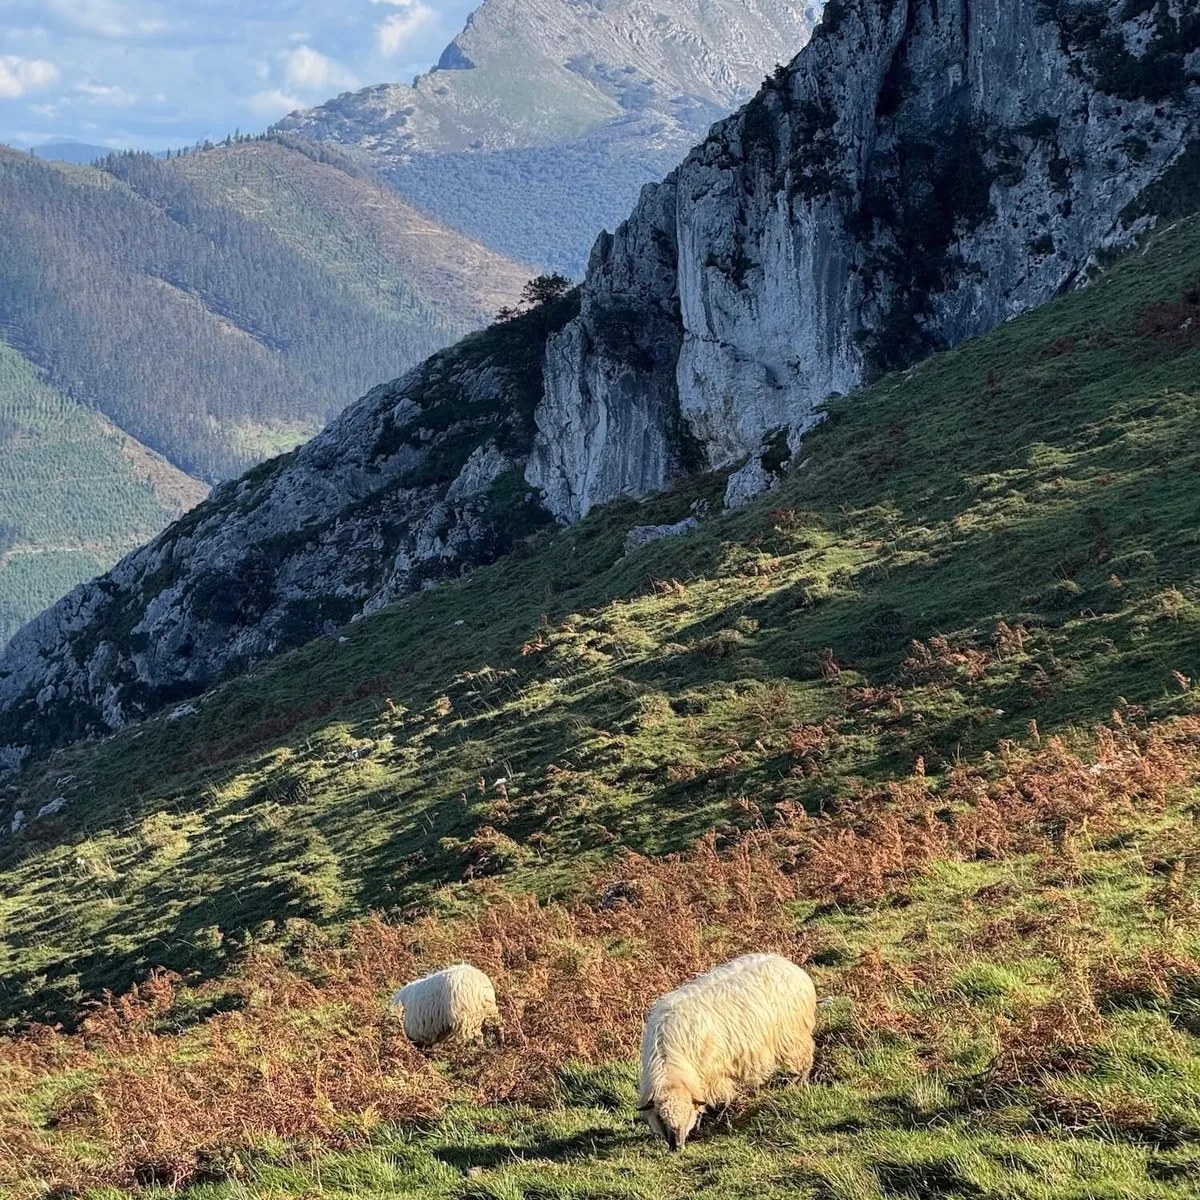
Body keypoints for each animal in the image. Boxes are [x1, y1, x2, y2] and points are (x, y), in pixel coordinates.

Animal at [637, 952, 817, 1150]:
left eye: (687, 1113)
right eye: (661, 1118)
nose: (677, 1147)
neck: (670, 1058)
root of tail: (790, 966)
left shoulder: (714, 1073)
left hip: (793, 1037)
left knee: (805, 1058)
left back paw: (799, 1082)